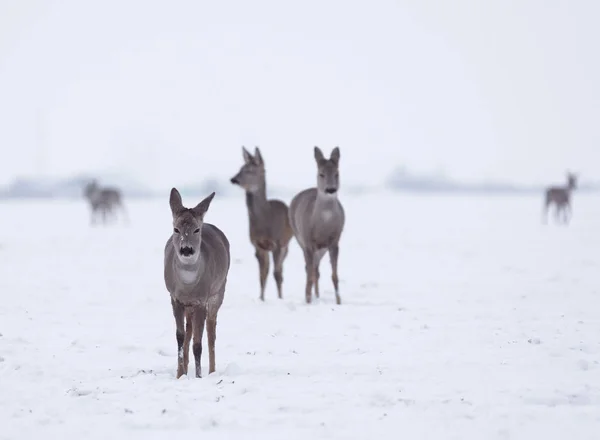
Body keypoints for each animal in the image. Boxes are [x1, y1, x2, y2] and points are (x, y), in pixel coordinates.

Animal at [163, 189, 231, 378]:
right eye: (176, 229)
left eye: (196, 229)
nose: (186, 249)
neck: (188, 285)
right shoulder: (175, 298)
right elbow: (180, 337)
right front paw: (180, 375)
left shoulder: (202, 299)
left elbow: (198, 344)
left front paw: (199, 376)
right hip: (190, 306)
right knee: (189, 330)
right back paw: (184, 369)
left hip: (219, 291)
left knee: (211, 331)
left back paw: (212, 371)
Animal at [230, 146, 292, 300]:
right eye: (240, 168)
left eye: (250, 170)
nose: (234, 179)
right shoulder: (257, 245)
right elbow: (262, 274)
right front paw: (261, 299)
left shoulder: (277, 242)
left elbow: (276, 274)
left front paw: (279, 299)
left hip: (286, 244)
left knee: (280, 270)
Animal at [290, 146, 346, 304]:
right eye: (321, 174)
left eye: (337, 173)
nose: (330, 189)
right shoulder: (308, 241)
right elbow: (309, 275)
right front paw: (308, 300)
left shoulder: (334, 241)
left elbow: (334, 276)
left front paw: (339, 301)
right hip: (299, 239)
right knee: (310, 269)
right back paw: (312, 296)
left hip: (321, 249)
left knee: (316, 269)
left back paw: (317, 295)